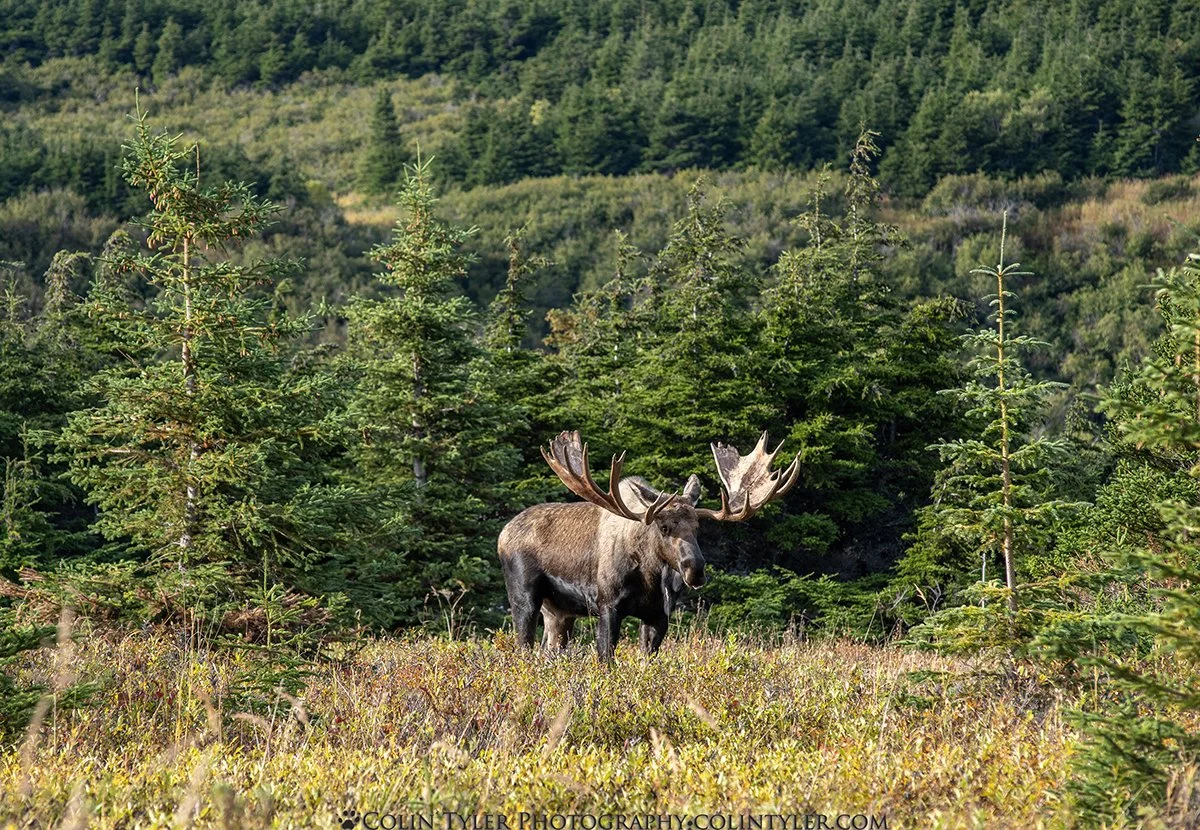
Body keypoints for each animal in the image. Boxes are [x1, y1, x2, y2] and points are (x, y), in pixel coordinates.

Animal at [497, 430, 799, 661]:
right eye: (663, 527)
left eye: (698, 528)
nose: (695, 570)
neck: (650, 577)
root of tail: (503, 533)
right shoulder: (607, 605)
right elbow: (606, 658)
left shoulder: (659, 614)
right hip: (525, 596)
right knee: (523, 647)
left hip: (559, 611)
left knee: (550, 650)